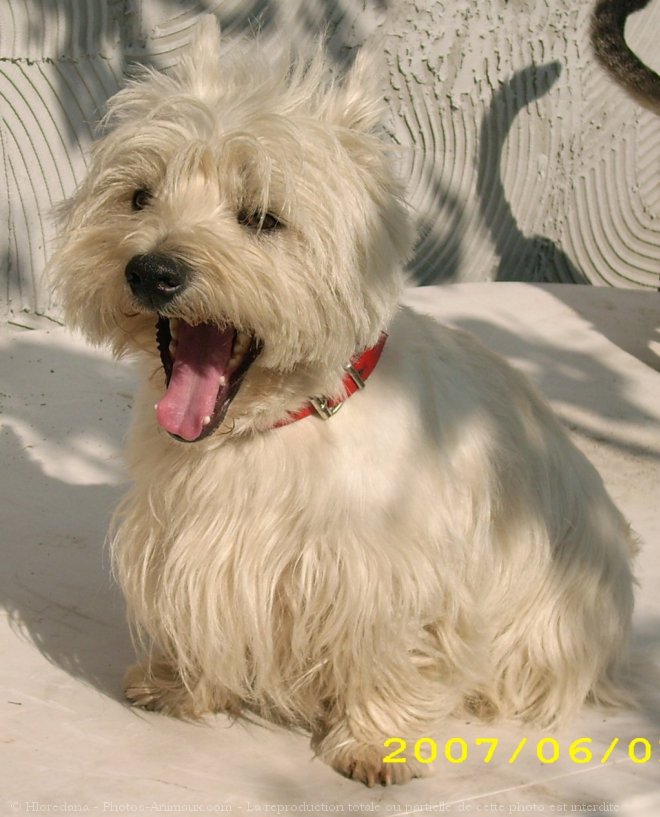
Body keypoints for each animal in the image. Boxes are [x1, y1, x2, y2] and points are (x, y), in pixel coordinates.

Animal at [50, 17, 636, 784]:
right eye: (140, 196)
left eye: (262, 218)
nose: (152, 270)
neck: (270, 426)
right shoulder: (185, 539)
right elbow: (194, 616)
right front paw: (180, 683)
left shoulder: (392, 570)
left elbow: (389, 651)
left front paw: (375, 741)